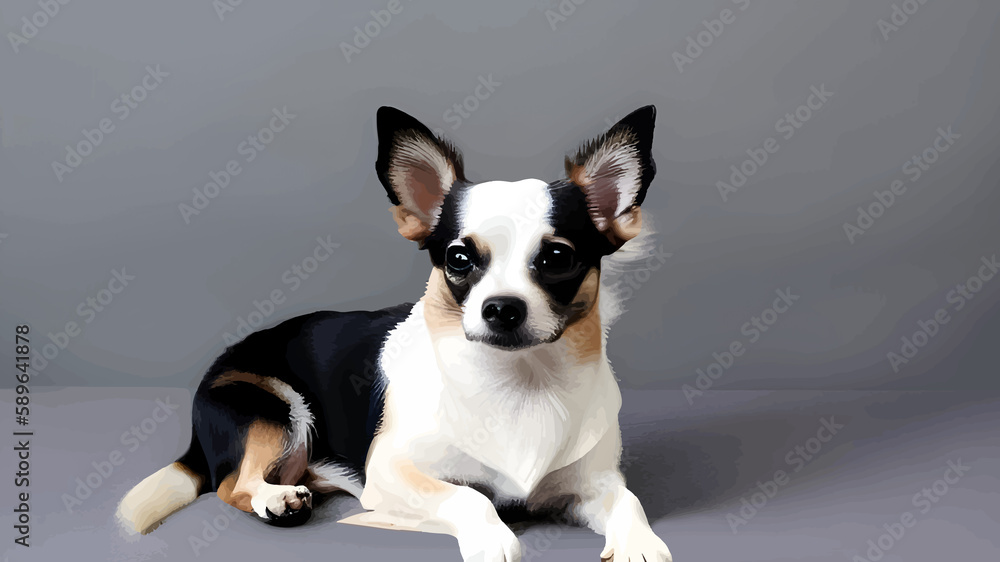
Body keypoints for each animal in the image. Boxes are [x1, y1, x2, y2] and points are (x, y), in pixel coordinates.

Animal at [121, 105, 676, 560]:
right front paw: (492, 537)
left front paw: (640, 543)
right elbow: (468, 496)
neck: (520, 381)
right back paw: (276, 498)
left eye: (558, 258)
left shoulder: (594, 484)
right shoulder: (392, 472)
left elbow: (628, 501)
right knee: (232, 484)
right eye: (458, 259)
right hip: (277, 409)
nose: (502, 308)